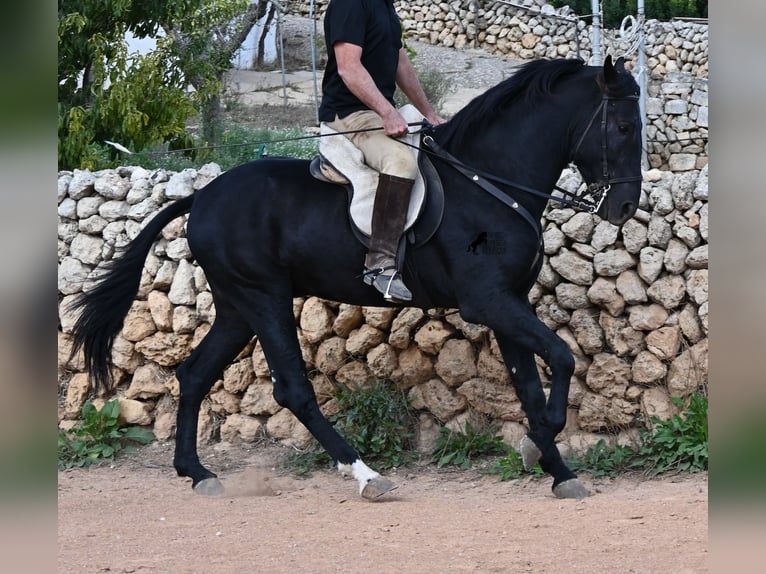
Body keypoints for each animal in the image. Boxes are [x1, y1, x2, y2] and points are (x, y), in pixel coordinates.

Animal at [69, 55, 642, 500]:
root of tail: (203, 196)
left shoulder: (509, 302)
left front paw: (557, 470)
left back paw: (197, 473)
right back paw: (367, 476)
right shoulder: (490, 301)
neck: (488, 180)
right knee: (293, 391)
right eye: (622, 127)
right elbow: (562, 359)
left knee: (193, 375)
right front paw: (534, 446)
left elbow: (530, 385)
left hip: (238, 307)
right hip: (264, 299)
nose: (625, 207)